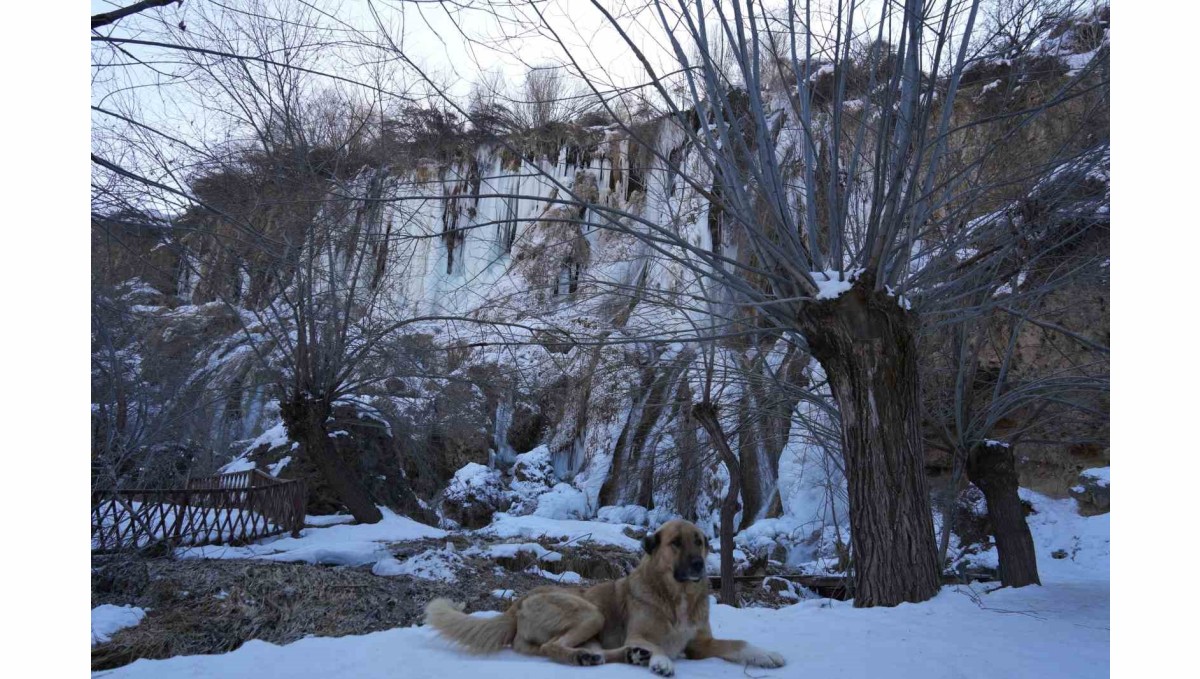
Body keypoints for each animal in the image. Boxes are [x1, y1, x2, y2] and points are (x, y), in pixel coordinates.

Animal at [424, 520, 787, 676]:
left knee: (596, 651)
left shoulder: (700, 643)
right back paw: (591, 658)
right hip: (588, 613)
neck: (676, 596)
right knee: (551, 647)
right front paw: (660, 661)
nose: (699, 565)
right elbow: (657, 646)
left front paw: (765, 655)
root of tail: (517, 603)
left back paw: (625, 656)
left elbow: (738, 643)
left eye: (698, 541)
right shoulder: (641, 632)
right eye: (676, 543)